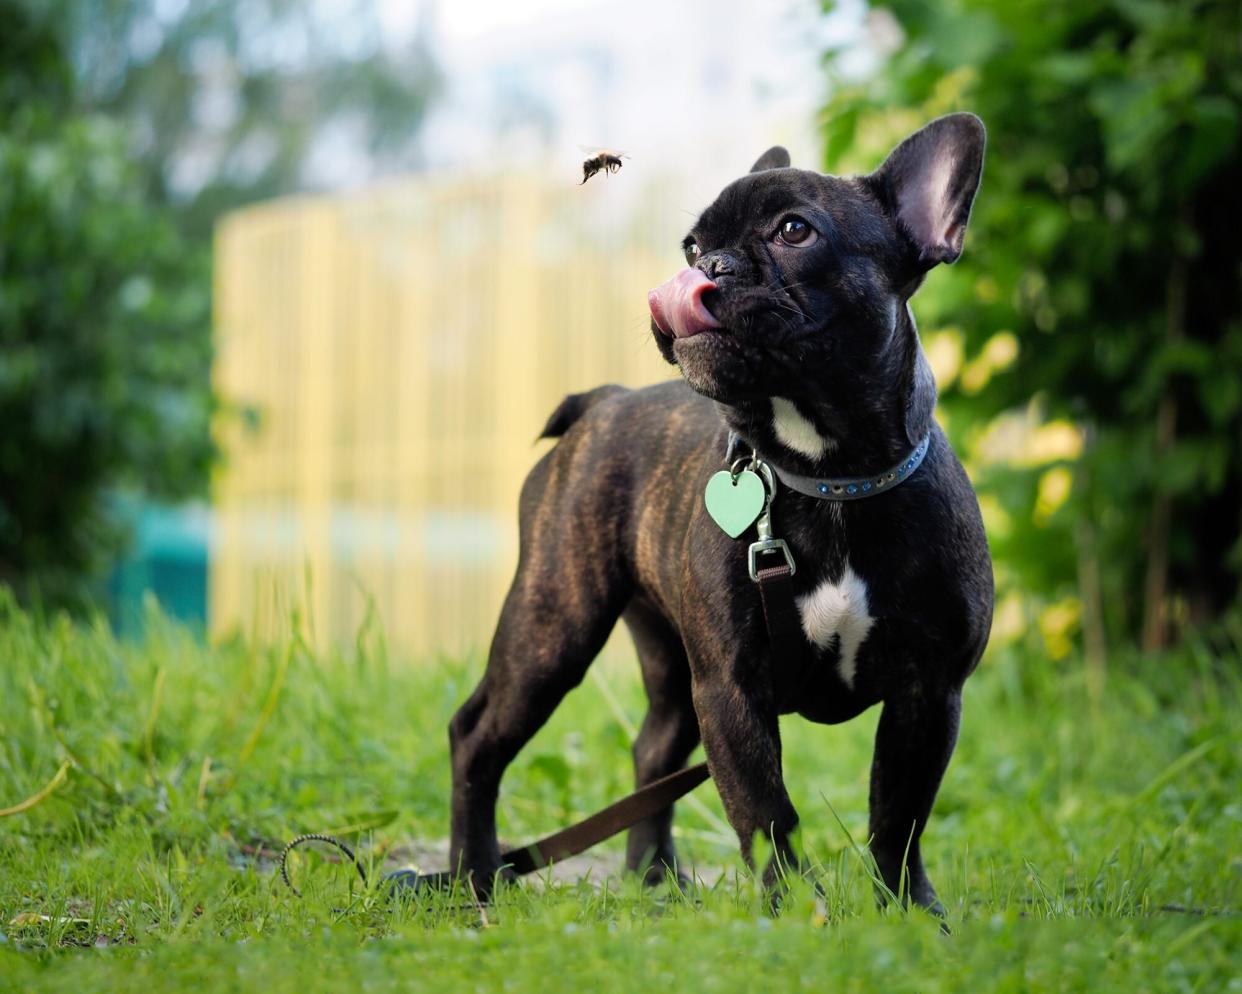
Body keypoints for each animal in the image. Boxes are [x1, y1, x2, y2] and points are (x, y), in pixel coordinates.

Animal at [442, 112, 993, 914]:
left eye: (795, 231)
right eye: (691, 244)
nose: (712, 265)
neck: (829, 477)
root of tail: (604, 401)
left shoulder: (930, 693)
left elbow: (899, 816)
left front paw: (909, 913)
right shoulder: (733, 690)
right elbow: (767, 814)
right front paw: (795, 914)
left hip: (670, 662)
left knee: (653, 750)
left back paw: (654, 879)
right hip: (553, 624)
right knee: (476, 735)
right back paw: (472, 873)